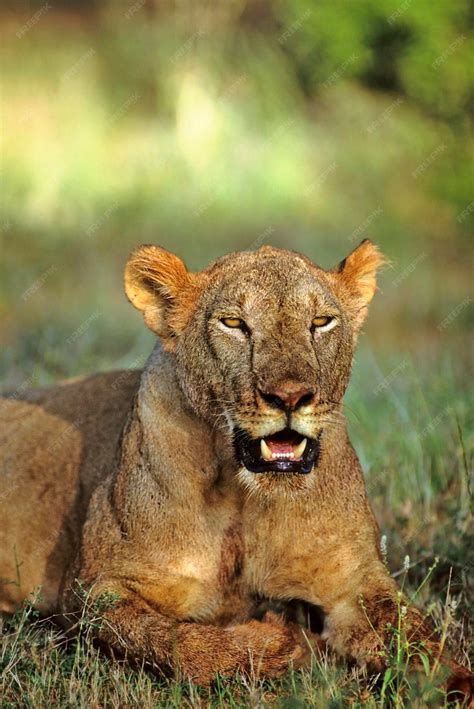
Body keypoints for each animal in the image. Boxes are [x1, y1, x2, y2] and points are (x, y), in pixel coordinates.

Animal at [0, 240, 471, 694]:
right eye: (233, 323)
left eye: (321, 321)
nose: (290, 396)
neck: (243, 496)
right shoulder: (96, 590)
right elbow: (173, 641)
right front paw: (282, 645)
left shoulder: (353, 580)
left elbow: (414, 634)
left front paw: (452, 683)